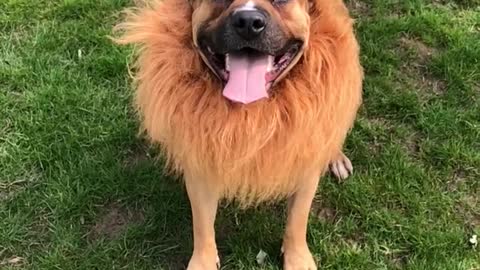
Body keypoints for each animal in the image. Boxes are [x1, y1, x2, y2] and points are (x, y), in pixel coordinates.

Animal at [116, 0, 362, 268]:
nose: (248, 23)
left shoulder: (304, 165)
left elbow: (297, 220)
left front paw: (297, 258)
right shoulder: (202, 168)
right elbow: (202, 225)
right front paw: (202, 261)